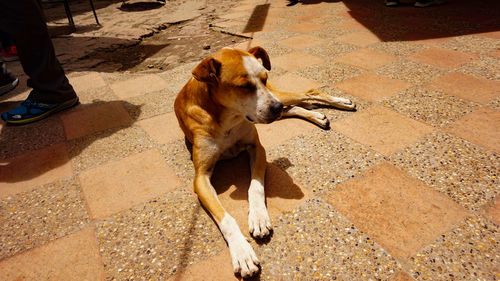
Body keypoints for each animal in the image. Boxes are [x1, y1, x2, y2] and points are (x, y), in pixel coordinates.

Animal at [176, 46, 356, 276]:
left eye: (264, 77)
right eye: (244, 86)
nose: (275, 107)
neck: (227, 118)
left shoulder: (257, 149)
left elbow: (255, 187)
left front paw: (259, 217)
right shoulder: (201, 176)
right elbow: (226, 218)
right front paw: (242, 252)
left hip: (279, 96)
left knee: (308, 93)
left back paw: (341, 102)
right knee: (295, 106)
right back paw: (317, 116)